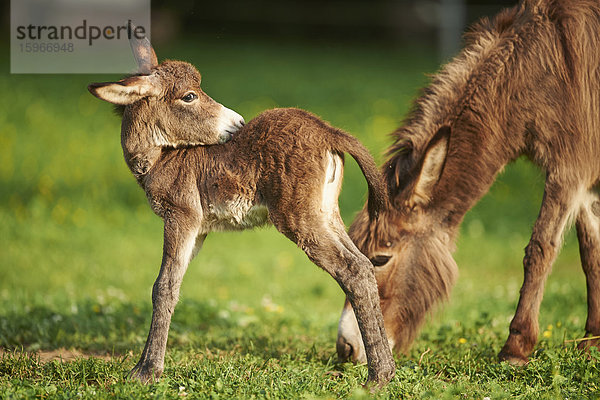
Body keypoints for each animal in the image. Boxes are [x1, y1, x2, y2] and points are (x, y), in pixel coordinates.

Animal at [89, 47, 396, 388]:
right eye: (189, 96)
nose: (238, 122)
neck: (165, 156)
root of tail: (328, 131)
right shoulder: (199, 229)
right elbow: (173, 283)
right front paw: (143, 365)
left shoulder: (180, 217)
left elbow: (163, 287)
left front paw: (147, 371)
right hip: (325, 214)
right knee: (365, 266)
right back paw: (386, 369)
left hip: (299, 219)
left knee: (352, 270)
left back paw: (377, 376)